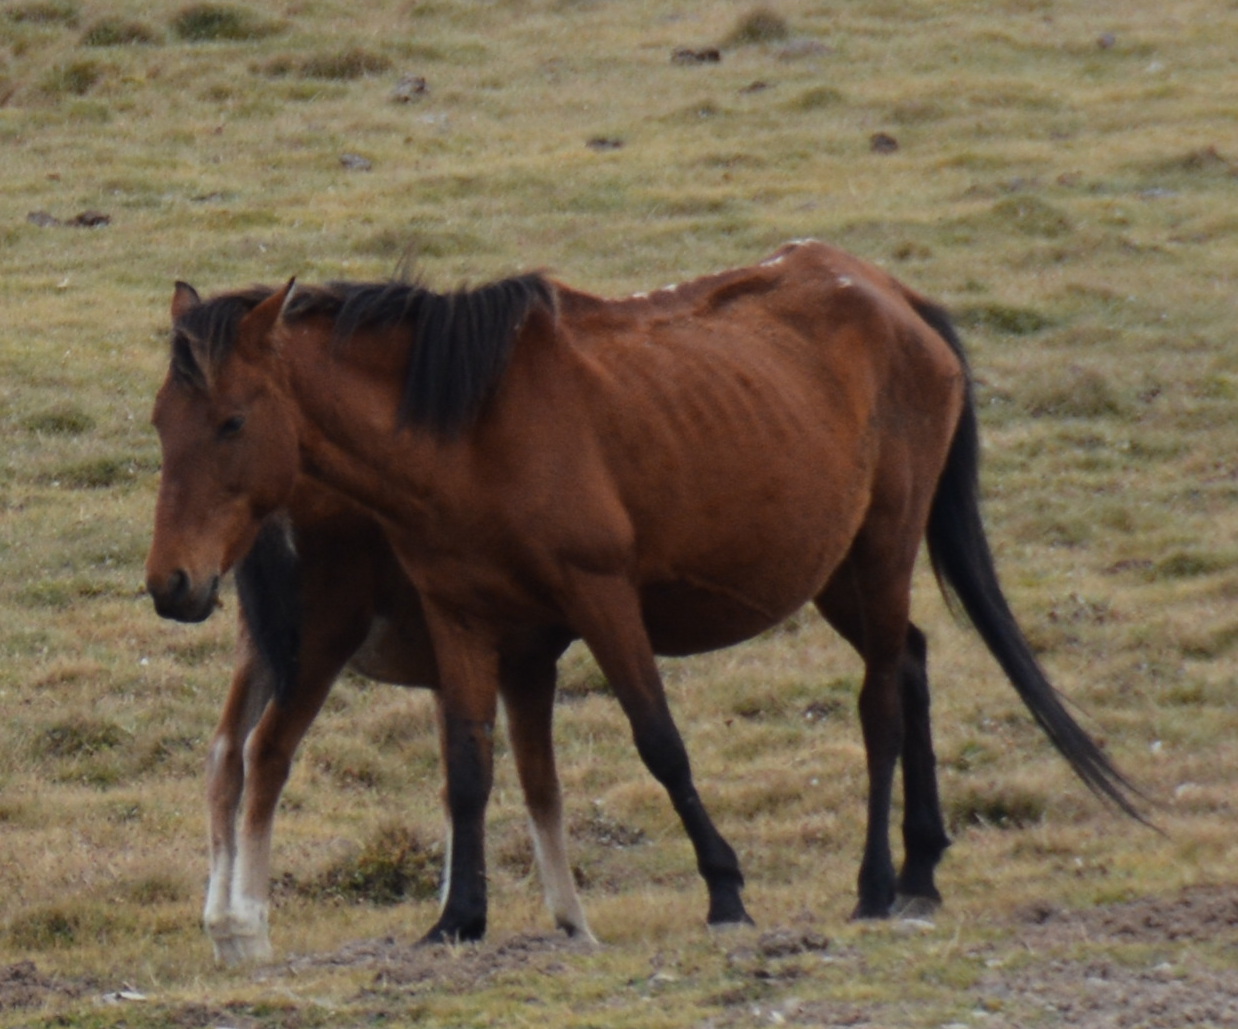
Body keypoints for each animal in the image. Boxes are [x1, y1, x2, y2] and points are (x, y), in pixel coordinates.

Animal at [199, 484, 591, 964]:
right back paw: (250, 926)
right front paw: (571, 924)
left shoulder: (450, 680)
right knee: (265, 750)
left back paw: (223, 928)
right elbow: (537, 786)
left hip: (258, 647)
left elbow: (456, 788)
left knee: (225, 751)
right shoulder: (524, 662)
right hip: (317, 647)